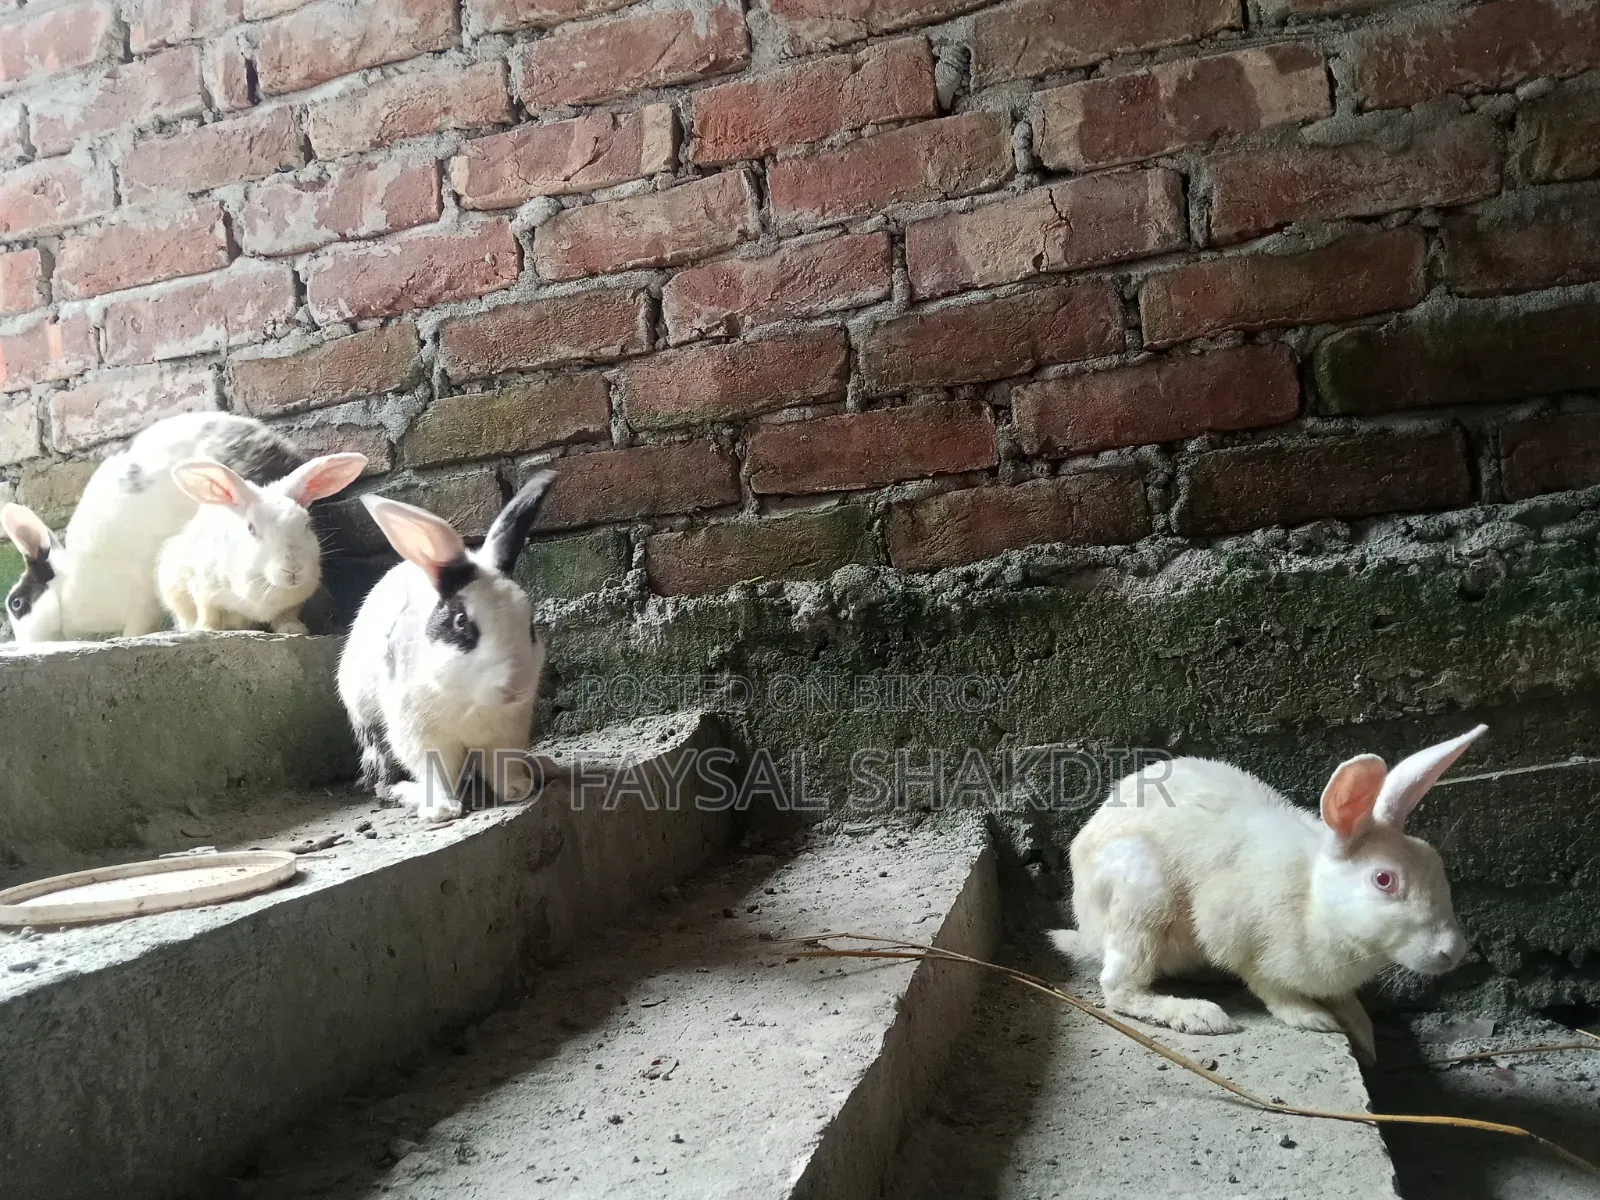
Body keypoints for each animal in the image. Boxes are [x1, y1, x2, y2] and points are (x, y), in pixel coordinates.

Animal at [3, 412, 307, 643]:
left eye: (16, 603)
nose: (24, 642)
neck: (71, 590)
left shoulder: (141, 601)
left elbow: (137, 628)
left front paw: (125, 639)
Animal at [156, 453, 367, 634]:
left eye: (306, 524)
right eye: (251, 528)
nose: (293, 568)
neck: (267, 585)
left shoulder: (295, 601)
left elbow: (288, 615)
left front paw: (293, 629)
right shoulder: (203, 586)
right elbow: (208, 610)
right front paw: (207, 629)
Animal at [338, 470, 555, 824]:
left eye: (531, 622)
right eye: (461, 622)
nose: (516, 686)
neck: (472, 701)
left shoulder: (507, 733)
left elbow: (501, 764)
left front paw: (517, 789)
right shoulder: (420, 737)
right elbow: (433, 773)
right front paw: (441, 811)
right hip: (374, 735)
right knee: (382, 783)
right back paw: (408, 794)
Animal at [1051, 726, 1486, 1062]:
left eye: (1434, 861)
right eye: (1384, 880)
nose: (1453, 952)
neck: (1315, 904)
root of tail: (1088, 932)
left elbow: (1347, 1002)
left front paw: (1364, 1036)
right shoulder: (1239, 939)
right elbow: (1270, 988)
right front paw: (1312, 1018)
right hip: (1142, 899)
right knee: (1119, 989)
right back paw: (1199, 1015)